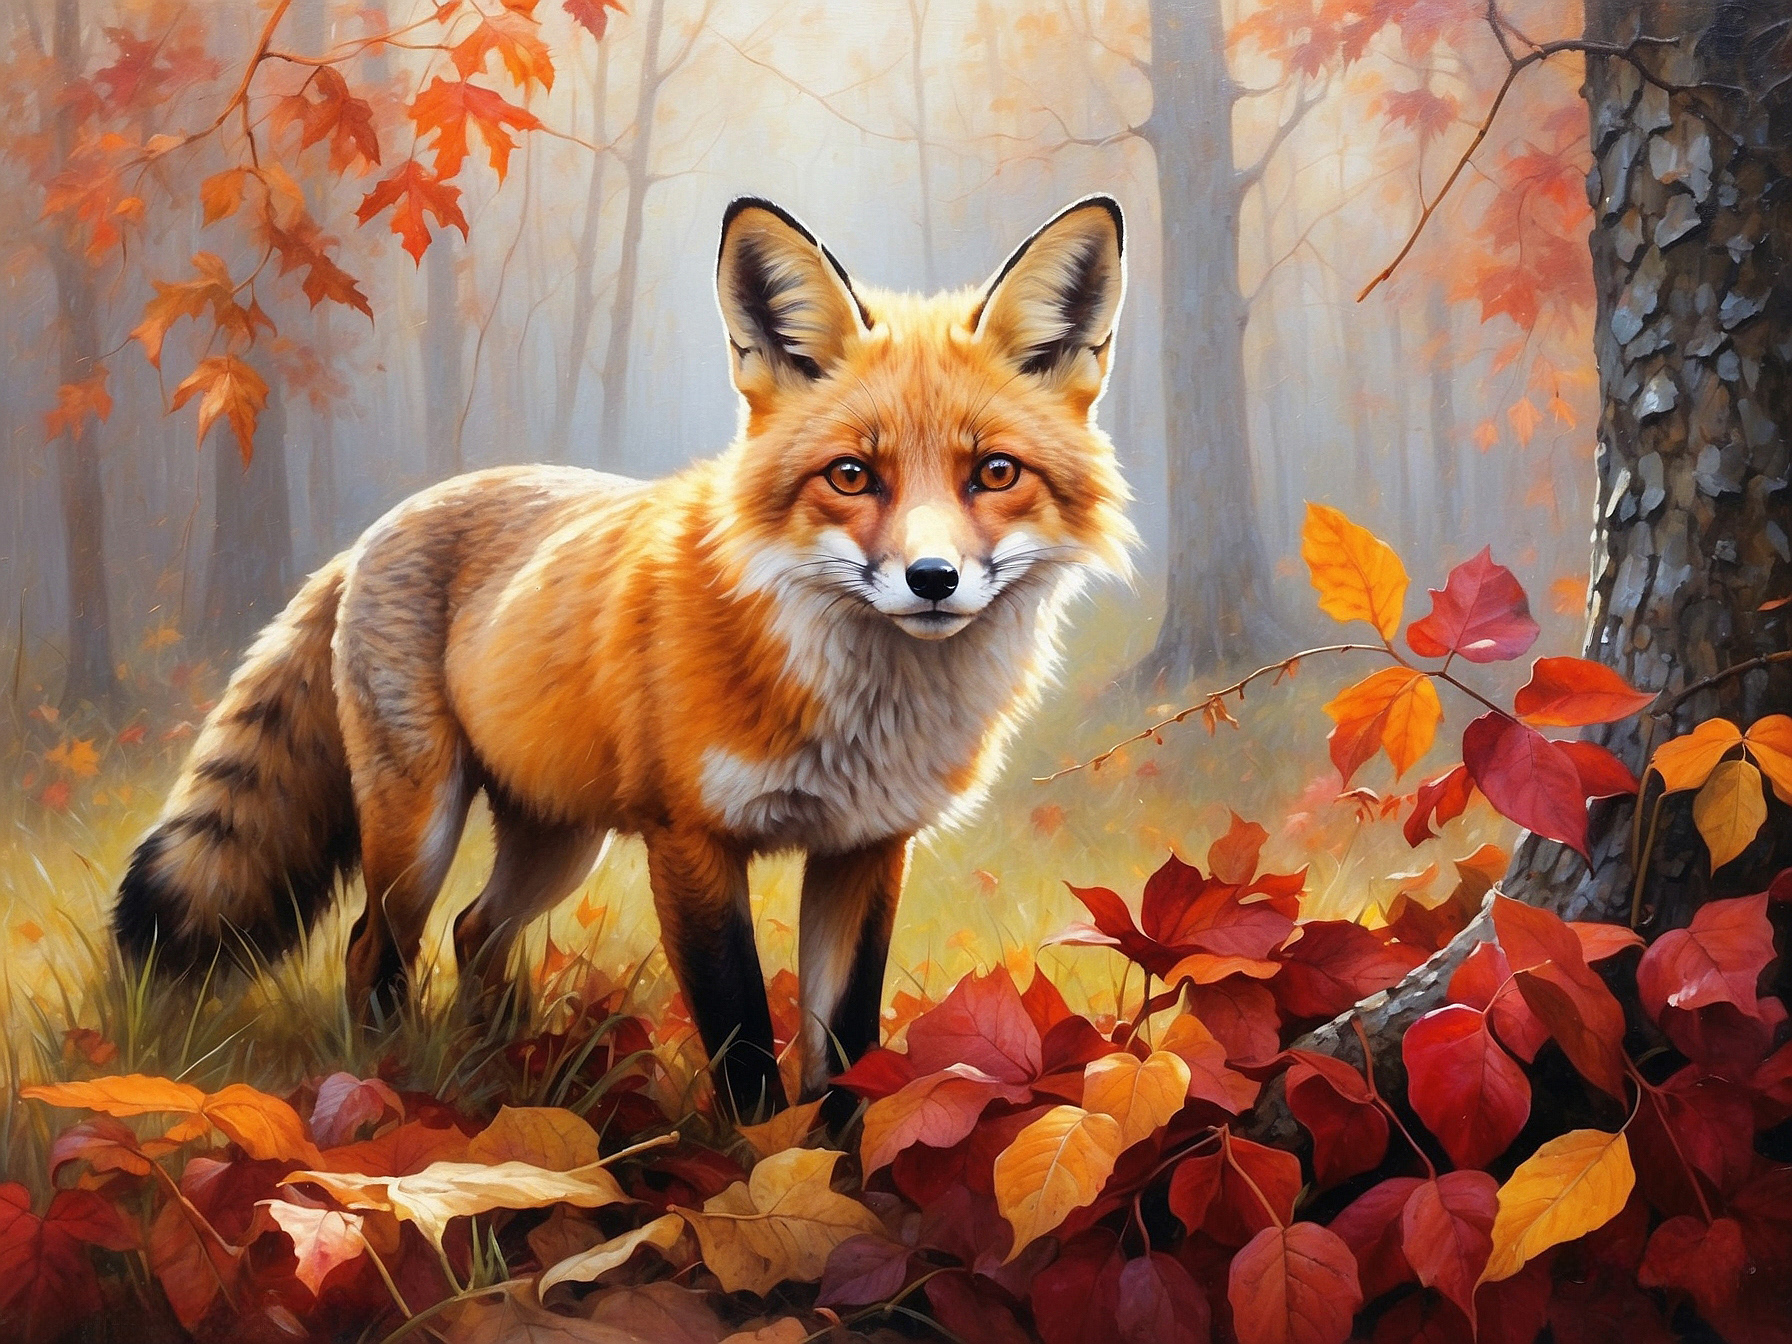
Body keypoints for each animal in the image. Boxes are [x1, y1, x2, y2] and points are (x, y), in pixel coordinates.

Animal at [114, 194, 1134, 1118]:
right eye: (852, 476)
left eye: (994, 473)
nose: (932, 579)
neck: (857, 712)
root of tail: (380, 524)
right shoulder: (688, 842)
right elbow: (743, 1044)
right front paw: (757, 1180)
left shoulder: (866, 847)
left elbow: (844, 1048)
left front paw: (840, 1176)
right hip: (422, 824)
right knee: (375, 943)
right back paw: (389, 1082)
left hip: (560, 837)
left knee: (474, 930)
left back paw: (502, 1064)